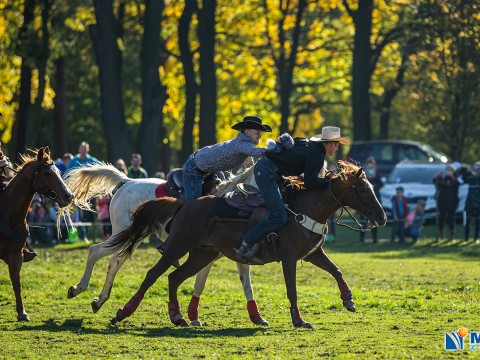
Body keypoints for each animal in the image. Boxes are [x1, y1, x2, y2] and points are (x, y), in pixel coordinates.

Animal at [0, 146, 73, 320]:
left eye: (58, 172)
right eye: (47, 173)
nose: (68, 196)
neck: (8, 213)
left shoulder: (15, 254)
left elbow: (16, 282)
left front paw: (22, 312)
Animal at [59, 163, 270, 326]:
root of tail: (127, 182)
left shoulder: (236, 255)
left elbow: (247, 285)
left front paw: (257, 317)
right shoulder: (208, 255)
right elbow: (200, 283)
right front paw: (193, 317)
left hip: (134, 236)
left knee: (114, 261)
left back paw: (100, 300)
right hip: (123, 232)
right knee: (95, 251)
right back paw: (78, 288)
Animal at [108, 162, 386, 328]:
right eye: (362, 189)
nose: (382, 217)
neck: (303, 208)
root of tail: (184, 205)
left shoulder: (312, 254)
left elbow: (336, 270)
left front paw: (348, 300)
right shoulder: (289, 258)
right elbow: (292, 289)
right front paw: (299, 320)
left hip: (202, 254)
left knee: (174, 277)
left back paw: (178, 316)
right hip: (178, 246)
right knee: (153, 274)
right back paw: (122, 312)